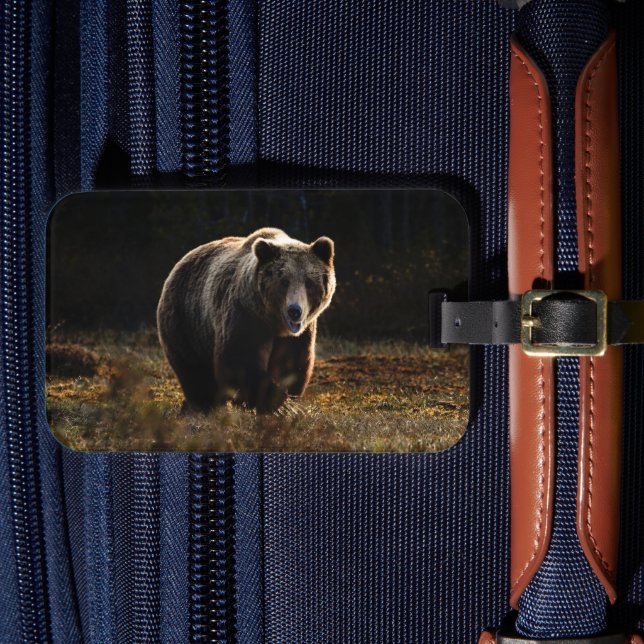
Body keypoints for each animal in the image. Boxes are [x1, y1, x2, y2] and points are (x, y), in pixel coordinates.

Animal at [157, 227, 336, 414]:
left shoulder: (299, 335)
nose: (295, 311)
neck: (274, 323)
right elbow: (240, 360)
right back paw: (204, 405)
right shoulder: (245, 316)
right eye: (284, 281)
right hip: (187, 322)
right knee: (194, 370)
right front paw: (276, 401)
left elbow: (291, 364)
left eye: (309, 282)